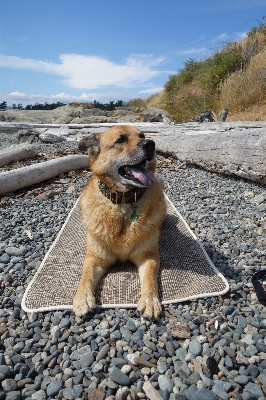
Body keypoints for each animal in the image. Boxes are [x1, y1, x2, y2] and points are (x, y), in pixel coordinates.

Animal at [72, 125, 166, 318]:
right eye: (120, 140)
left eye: (142, 136)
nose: (150, 144)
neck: (123, 202)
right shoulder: (95, 257)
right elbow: (86, 275)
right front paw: (82, 298)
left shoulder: (148, 255)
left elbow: (150, 278)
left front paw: (150, 301)